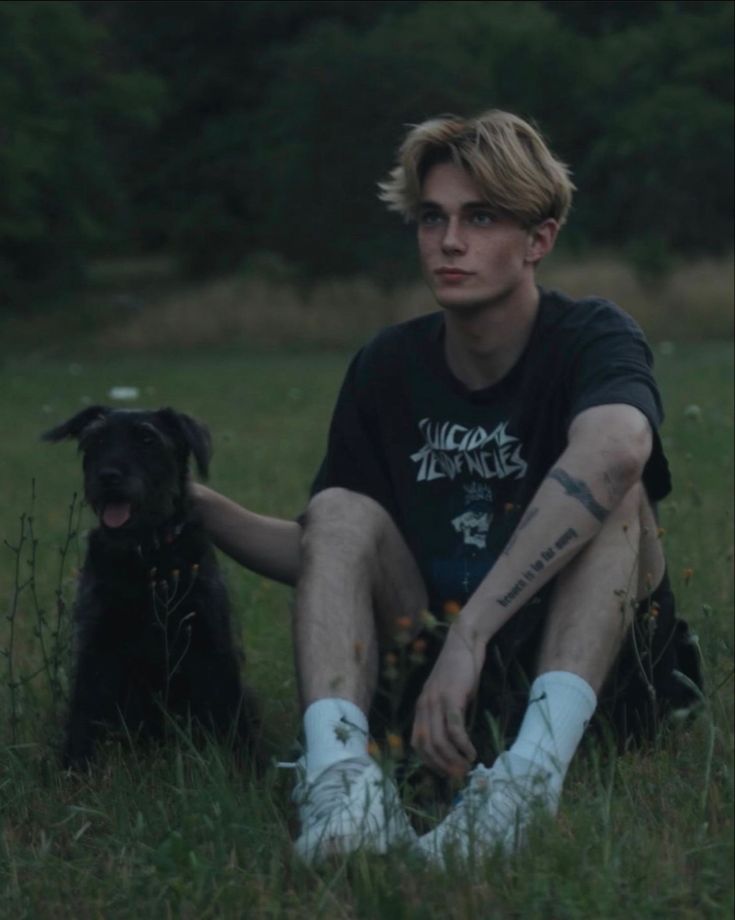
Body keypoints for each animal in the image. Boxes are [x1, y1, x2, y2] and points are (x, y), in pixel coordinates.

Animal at [41, 404, 258, 768]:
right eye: (96, 440)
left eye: (147, 439)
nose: (108, 477)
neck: (147, 557)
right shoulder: (96, 643)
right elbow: (84, 709)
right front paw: (74, 768)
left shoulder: (211, 643)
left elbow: (228, 710)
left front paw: (246, 767)